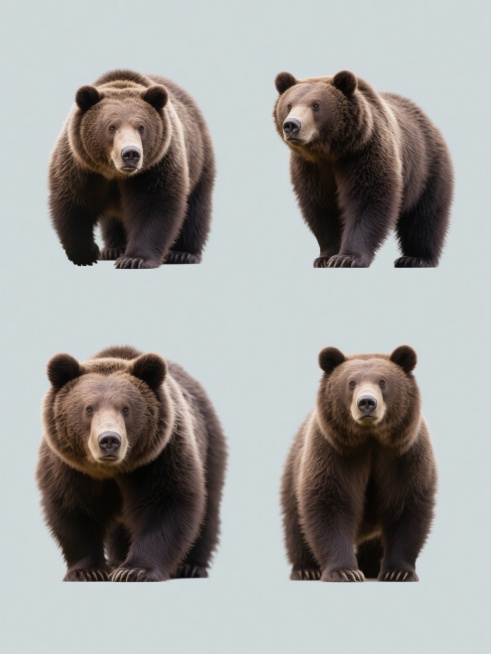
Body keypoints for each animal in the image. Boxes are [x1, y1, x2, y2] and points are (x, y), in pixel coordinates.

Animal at [36, 345, 227, 581]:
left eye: (126, 409)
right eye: (89, 408)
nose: (109, 440)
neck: (112, 470)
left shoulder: (160, 457)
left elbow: (166, 503)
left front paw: (135, 570)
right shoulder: (69, 466)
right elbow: (73, 507)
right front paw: (89, 570)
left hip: (210, 446)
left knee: (208, 509)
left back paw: (192, 566)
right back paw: (117, 560)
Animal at [49, 70, 215, 268]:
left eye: (141, 127)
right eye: (111, 126)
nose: (130, 153)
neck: (114, 172)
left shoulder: (155, 167)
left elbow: (154, 205)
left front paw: (134, 259)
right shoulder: (81, 165)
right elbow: (73, 201)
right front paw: (86, 254)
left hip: (199, 160)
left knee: (196, 210)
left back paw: (183, 254)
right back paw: (113, 249)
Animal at [273, 70, 454, 267]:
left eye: (316, 105)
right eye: (289, 105)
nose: (291, 125)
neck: (330, 152)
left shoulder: (364, 152)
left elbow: (368, 200)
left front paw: (347, 258)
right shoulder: (310, 168)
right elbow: (320, 206)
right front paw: (325, 257)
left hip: (427, 167)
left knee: (425, 215)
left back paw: (415, 258)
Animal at [281, 345, 437, 582]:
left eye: (382, 381)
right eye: (351, 382)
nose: (367, 403)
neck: (370, 439)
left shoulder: (406, 455)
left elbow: (407, 507)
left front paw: (398, 572)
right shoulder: (333, 452)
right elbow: (329, 503)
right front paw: (345, 571)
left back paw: (371, 565)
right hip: (293, 473)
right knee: (296, 525)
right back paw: (306, 569)